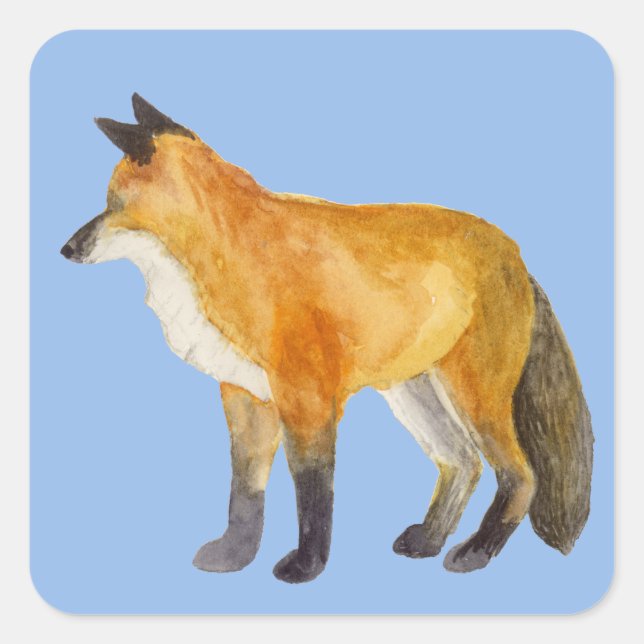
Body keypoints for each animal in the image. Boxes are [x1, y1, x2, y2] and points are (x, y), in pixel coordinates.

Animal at [60, 94, 593, 584]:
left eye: (111, 203)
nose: (66, 248)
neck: (231, 252)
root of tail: (517, 255)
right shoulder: (244, 396)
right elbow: (244, 493)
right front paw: (234, 556)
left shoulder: (308, 399)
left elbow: (313, 493)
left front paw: (306, 566)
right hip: (414, 394)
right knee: (463, 463)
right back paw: (429, 539)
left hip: (475, 398)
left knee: (521, 476)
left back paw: (477, 551)